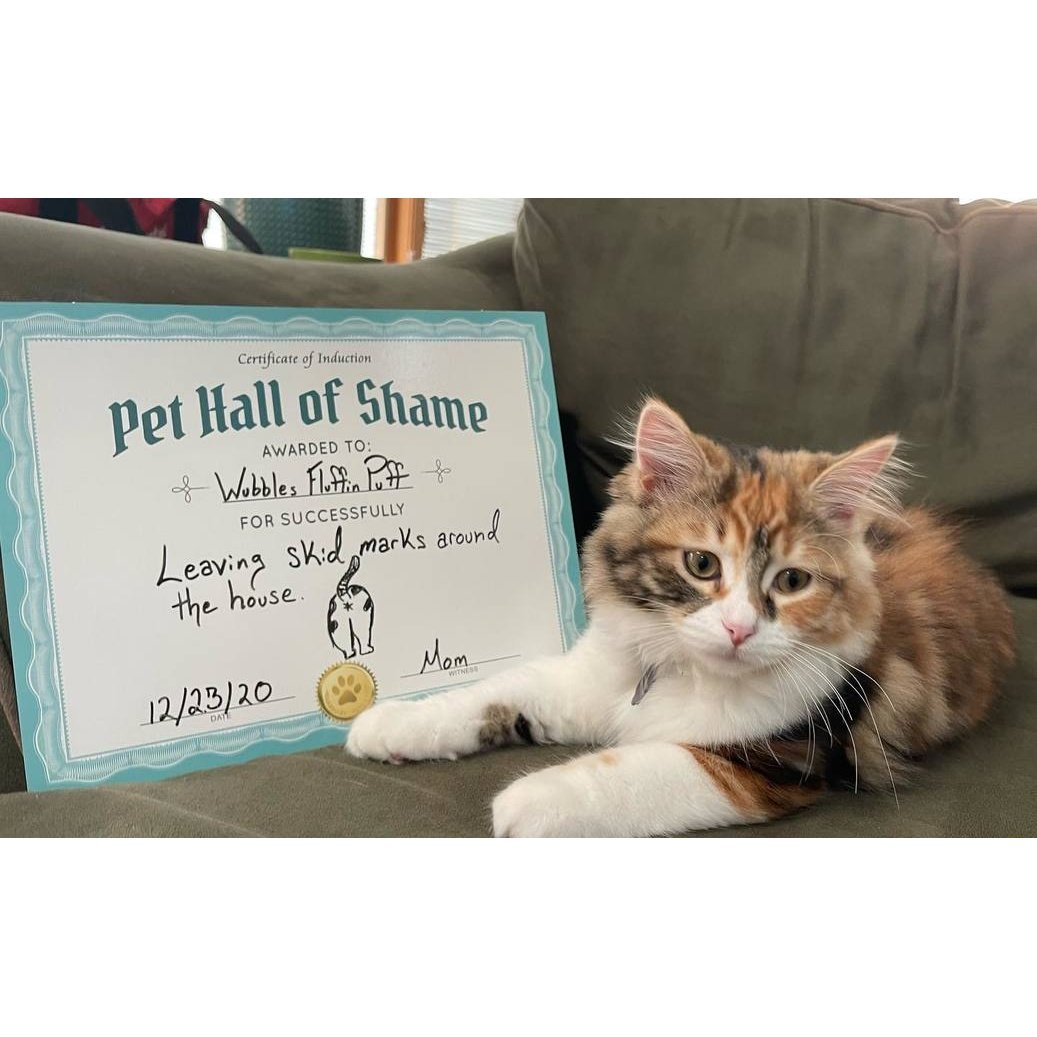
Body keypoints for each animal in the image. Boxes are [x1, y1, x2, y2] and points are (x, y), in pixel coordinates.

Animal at [346, 399, 1016, 837]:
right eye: (701, 564)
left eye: (792, 581)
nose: (739, 629)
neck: (676, 669)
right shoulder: (581, 683)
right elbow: (489, 693)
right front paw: (388, 724)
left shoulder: (773, 761)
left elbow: (634, 769)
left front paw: (526, 801)